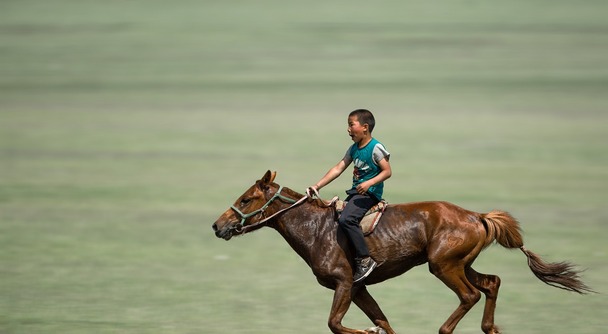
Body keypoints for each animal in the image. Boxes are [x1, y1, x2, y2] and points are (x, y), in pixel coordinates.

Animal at [211, 172, 592, 334]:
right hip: (460, 263)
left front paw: (367, 332)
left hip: (443, 266)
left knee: (470, 294)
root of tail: (478, 216)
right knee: (492, 283)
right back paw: (491, 329)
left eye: (247, 198)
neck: (316, 230)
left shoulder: (345, 283)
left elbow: (336, 323)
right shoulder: (359, 288)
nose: (218, 225)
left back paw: (447, 330)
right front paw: (376, 329)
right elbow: (383, 320)